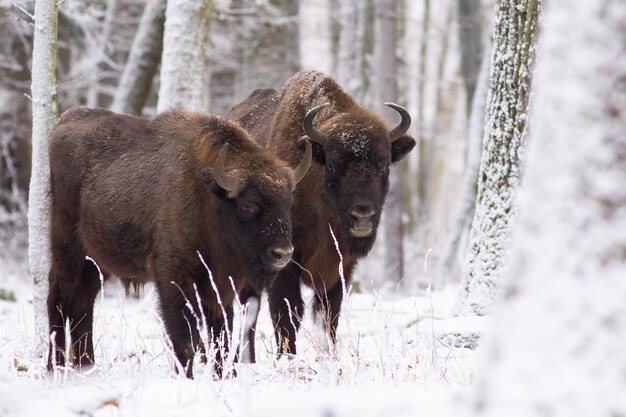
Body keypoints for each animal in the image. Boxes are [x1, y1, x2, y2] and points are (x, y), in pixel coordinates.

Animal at [45, 105, 310, 376]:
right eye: (248, 206)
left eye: (288, 204)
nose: (283, 253)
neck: (209, 196)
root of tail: (64, 121)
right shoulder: (174, 278)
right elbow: (184, 336)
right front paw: (186, 376)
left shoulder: (219, 285)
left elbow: (221, 333)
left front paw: (224, 374)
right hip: (67, 249)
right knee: (60, 297)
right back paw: (55, 366)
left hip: (96, 260)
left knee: (83, 301)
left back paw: (85, 365)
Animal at [228, 70, 414, 360]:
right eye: (334, 164)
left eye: (383, 164)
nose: (362, 216)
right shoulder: (284, 264)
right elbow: (287, 312)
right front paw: (287, 358)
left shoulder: (342, 266)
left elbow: (328, 314)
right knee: (249, 310)